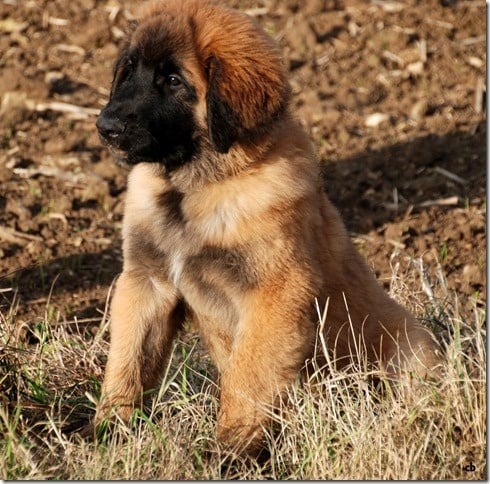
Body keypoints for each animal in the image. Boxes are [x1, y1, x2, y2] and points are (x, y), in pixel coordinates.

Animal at [94, 0, 439, 454]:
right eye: (128, 71)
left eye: (172, 80)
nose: (105, 127)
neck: (199, 186)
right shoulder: (146, 283)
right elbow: (128, 363)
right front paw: (106, 433)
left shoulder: (275, 295)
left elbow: (248, 378)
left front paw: (231, 451)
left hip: (411, 345)